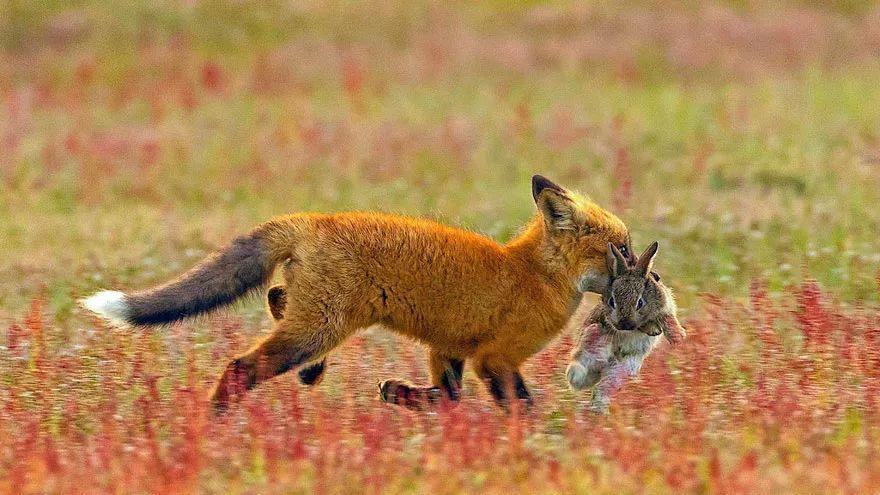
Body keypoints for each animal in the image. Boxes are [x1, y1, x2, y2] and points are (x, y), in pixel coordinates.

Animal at [81, 176, 632, 412]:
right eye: (621, 248)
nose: (645, 272)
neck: (534, 272)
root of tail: (314, 219)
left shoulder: (449, 348)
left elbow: (447, 399)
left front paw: (404, 397)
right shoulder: (495, 358)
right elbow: (518, 407)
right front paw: (536, 447)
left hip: (317, 318)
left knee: (277, 297)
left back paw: (311, 372)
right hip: (320, 326)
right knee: (242, 365)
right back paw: (215, 418)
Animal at [564, 240, 688, 414]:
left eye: (640, 302)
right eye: (612, 301)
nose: (624, 324)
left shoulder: (665, 306)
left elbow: (668, 319)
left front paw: (677, 337)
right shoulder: (608, 317)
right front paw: (654, 330)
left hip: (621, 369)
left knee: (603, 389)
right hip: (589, 344)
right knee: (580, 367)